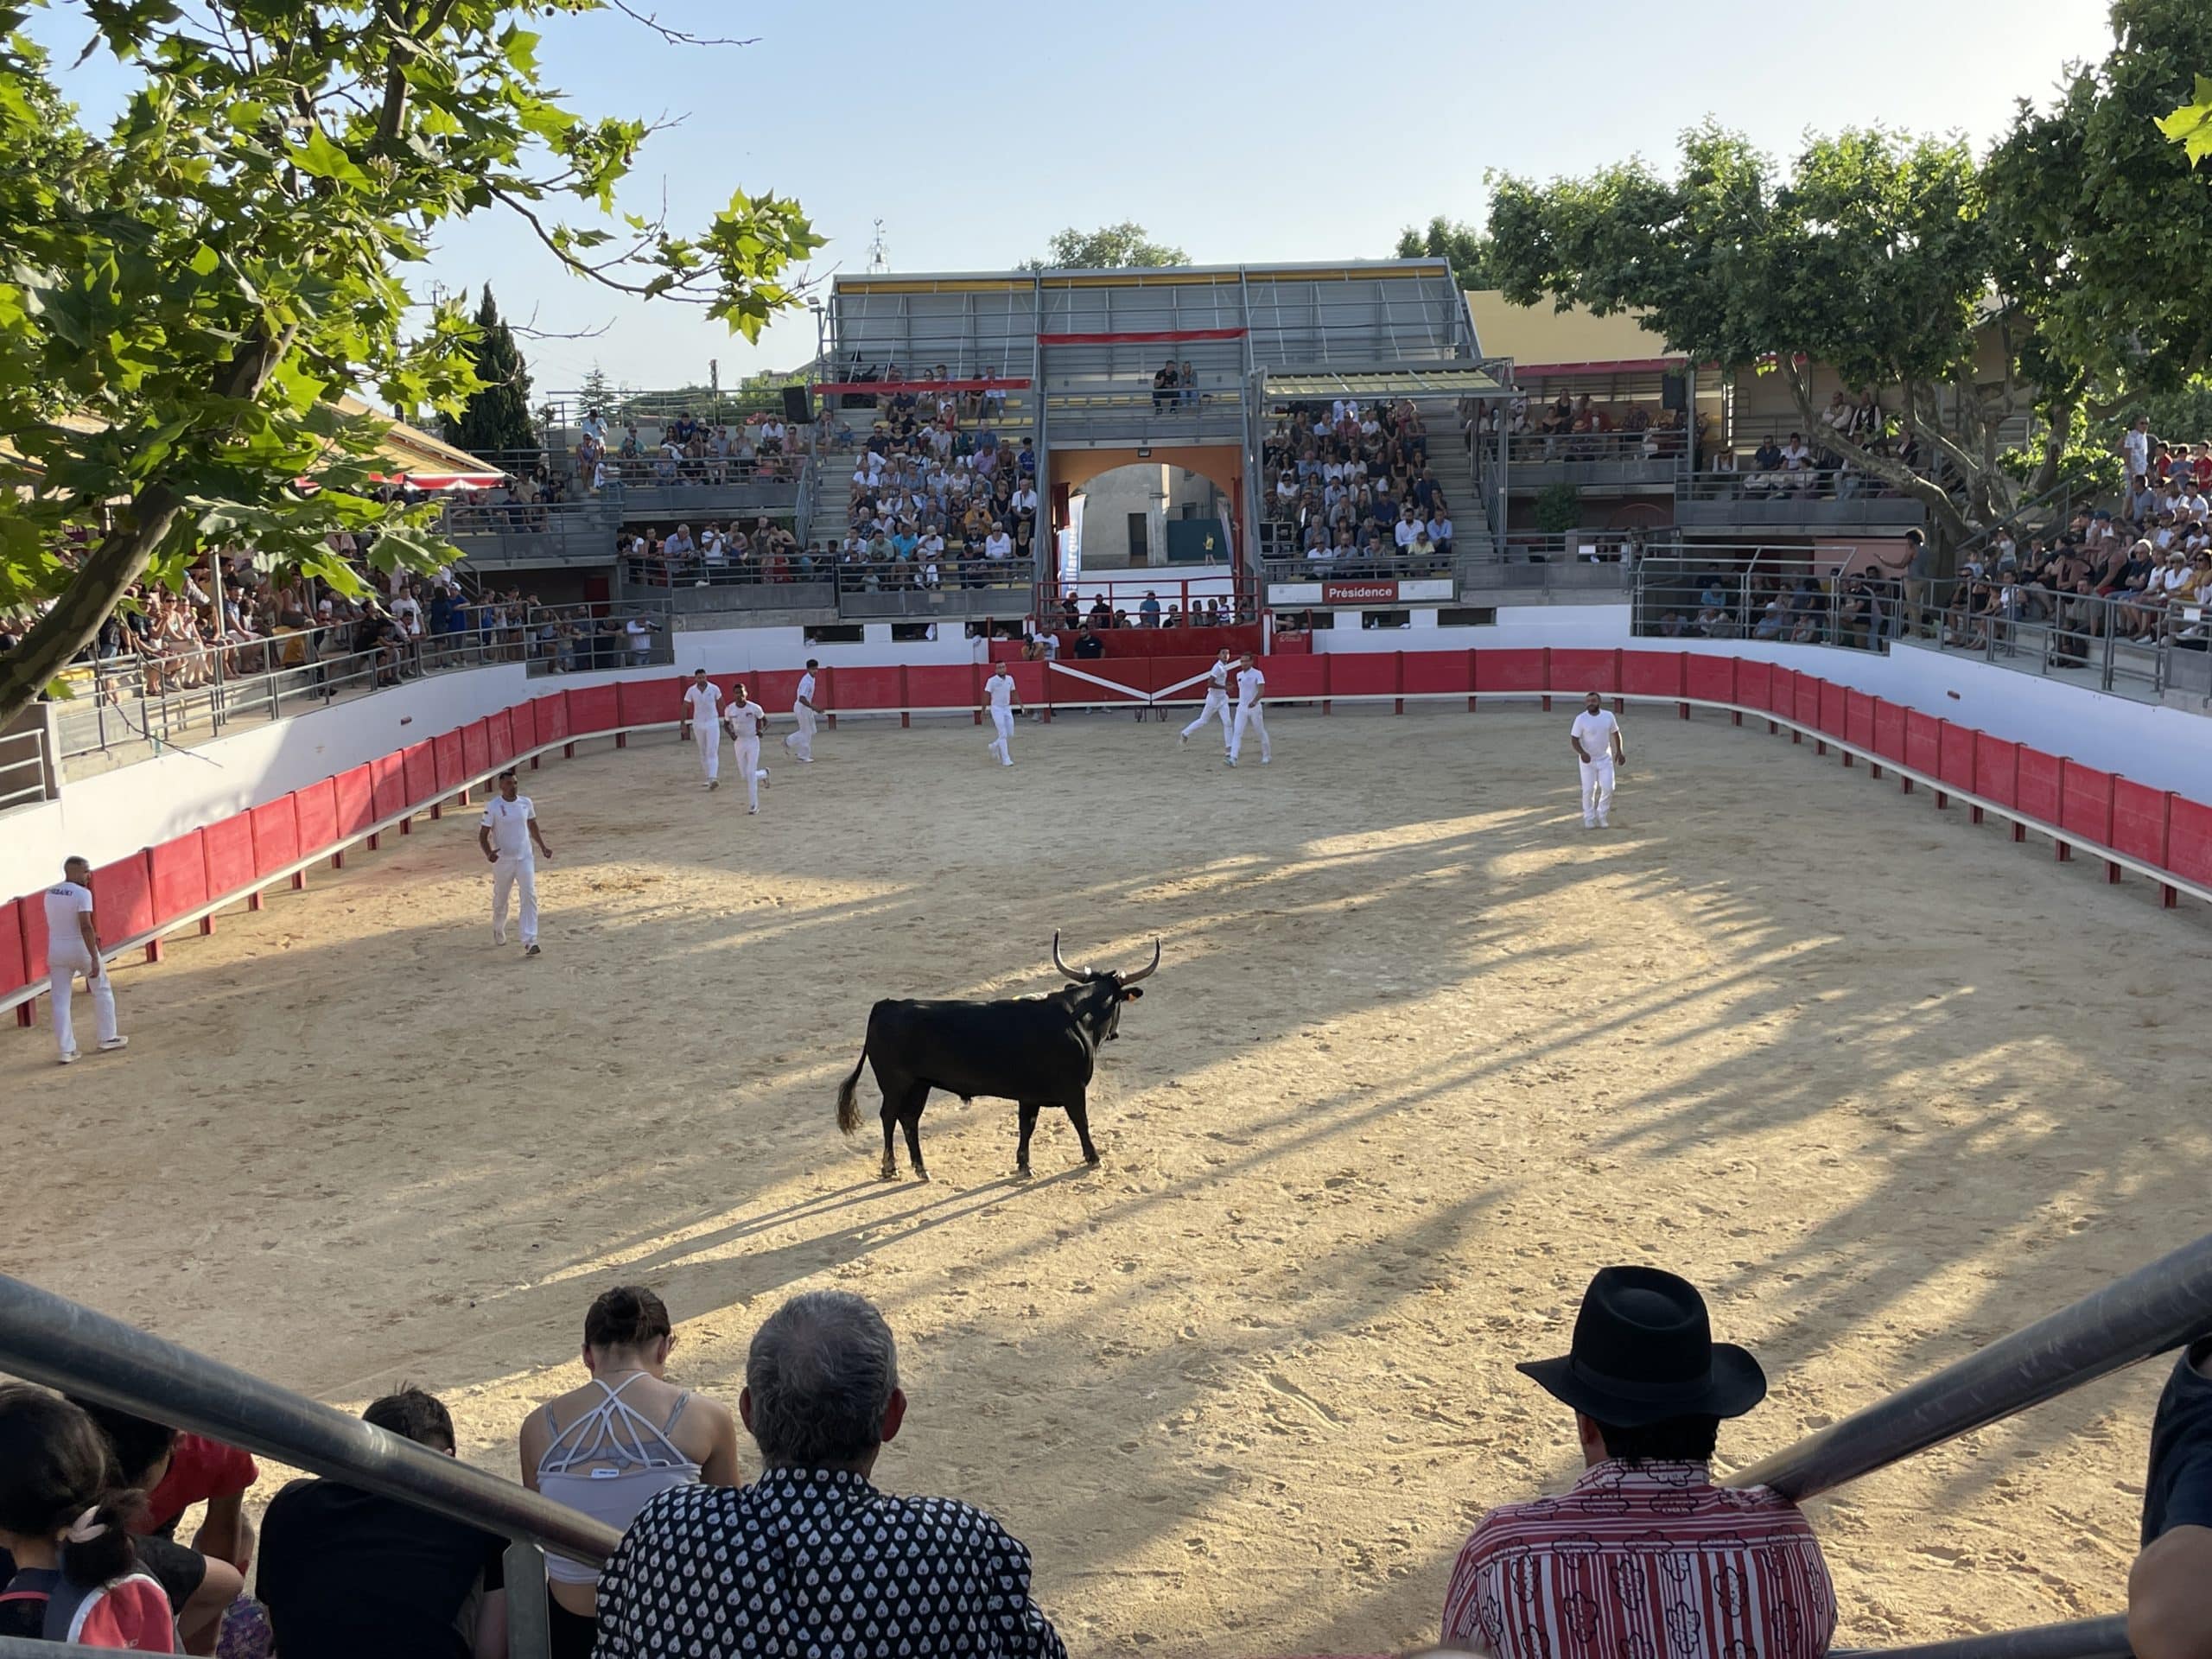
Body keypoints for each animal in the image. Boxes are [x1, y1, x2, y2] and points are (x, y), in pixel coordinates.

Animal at [831, 938, 1167, 1185]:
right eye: (1118, 1004)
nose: (1116, 1033)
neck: (1075, 1018)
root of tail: (886, 1005)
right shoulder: (1074, 1091)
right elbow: (1081, 1122)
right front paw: (1093, 1157)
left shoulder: (1030, 1096)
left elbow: (1026, 1126)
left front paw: (1024, 1165)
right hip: (897, 1083)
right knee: (889, 1116)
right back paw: (890, 1167)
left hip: (919, 1085)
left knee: (909, 1120)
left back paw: (921, 1169)